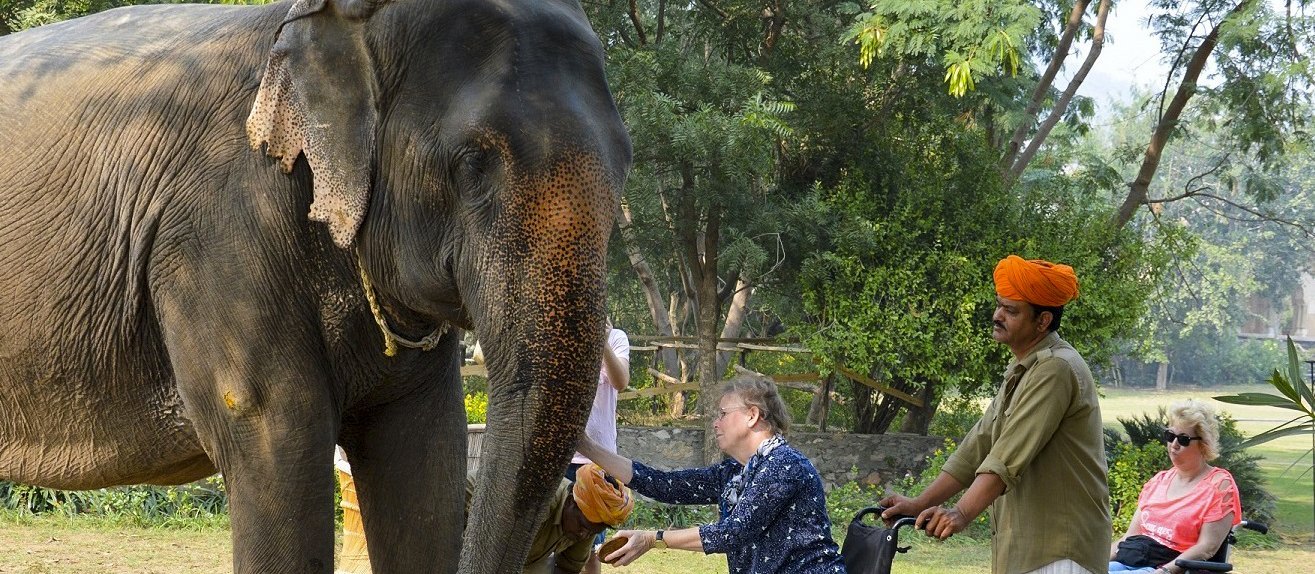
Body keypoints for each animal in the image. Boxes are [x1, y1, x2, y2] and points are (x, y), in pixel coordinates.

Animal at [0, 1, 631, 572]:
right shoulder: (219, 233)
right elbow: (280, 430)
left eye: (625, 165)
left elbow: (426, 451)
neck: (342, 24)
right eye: (472, 162)